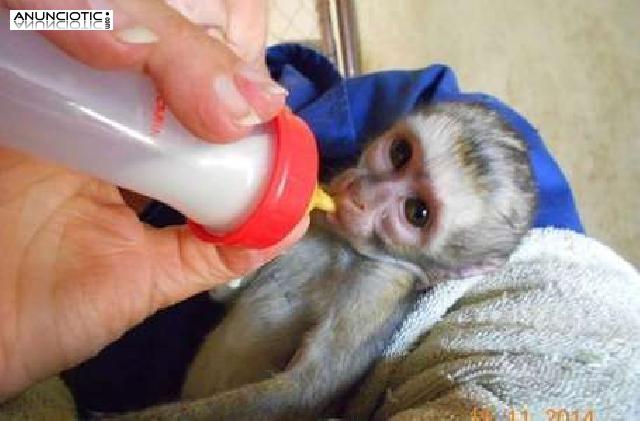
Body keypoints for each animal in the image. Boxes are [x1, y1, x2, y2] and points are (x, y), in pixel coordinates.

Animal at [110, 101, 536, 420]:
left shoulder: (378, 288)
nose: (359, 194)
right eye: (400, 152)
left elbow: (301, 392)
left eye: (417, 212)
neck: (344, 247)